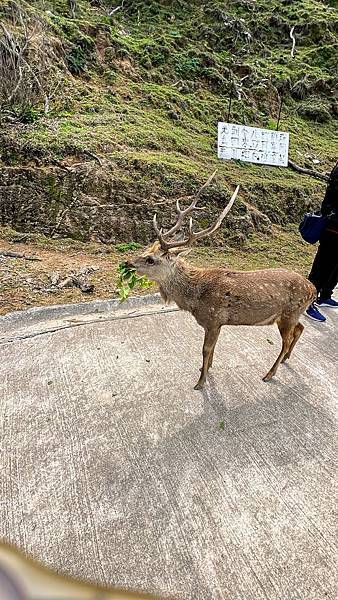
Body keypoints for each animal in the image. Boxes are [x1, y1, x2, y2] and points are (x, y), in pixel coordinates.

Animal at [129, 173, 316, 390]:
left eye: (151, 259)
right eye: (147, 249)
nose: (128, 263)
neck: (196, 298)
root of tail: (313, 289)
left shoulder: (213, 319)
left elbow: (205, 349)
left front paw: (200, 381)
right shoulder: (218, 324)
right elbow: (212, 349)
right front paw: (206, 368)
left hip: (289, 313)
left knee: (286, 341)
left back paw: (269, 374)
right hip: (291, 314)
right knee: (300, 329)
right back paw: (286, 359)